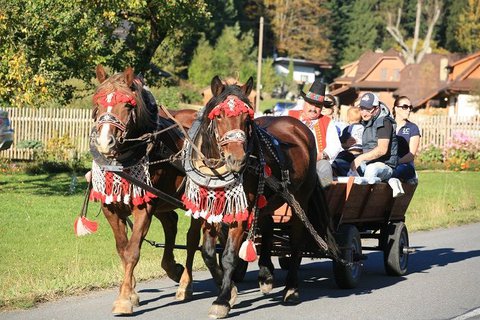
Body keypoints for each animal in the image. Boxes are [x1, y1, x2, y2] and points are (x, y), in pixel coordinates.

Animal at [90, 65, 201, 316]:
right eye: (97, 103)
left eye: (128, 105)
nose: (105, 142)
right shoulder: (111, 207)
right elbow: (123, 250)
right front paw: (131, 292)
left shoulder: (145, 205)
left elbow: (132, 251)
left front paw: (123, 300)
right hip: (163, 200)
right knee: (171, 223)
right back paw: (172, 268)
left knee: (193, 239)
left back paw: (186, 284)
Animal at [186, 77, 336, 318]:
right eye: (219, 116)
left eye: (247, 118)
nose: (237, 159)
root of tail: (298, 126)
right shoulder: (211, 209)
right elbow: (208, 253)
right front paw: (231, 289)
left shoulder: (240, 213)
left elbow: (229, 256)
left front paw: (222, 300)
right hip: (267, 197)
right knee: (266, 226)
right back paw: (265, 274)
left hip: (299, 200)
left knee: (296, 242)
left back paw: (291, 289)